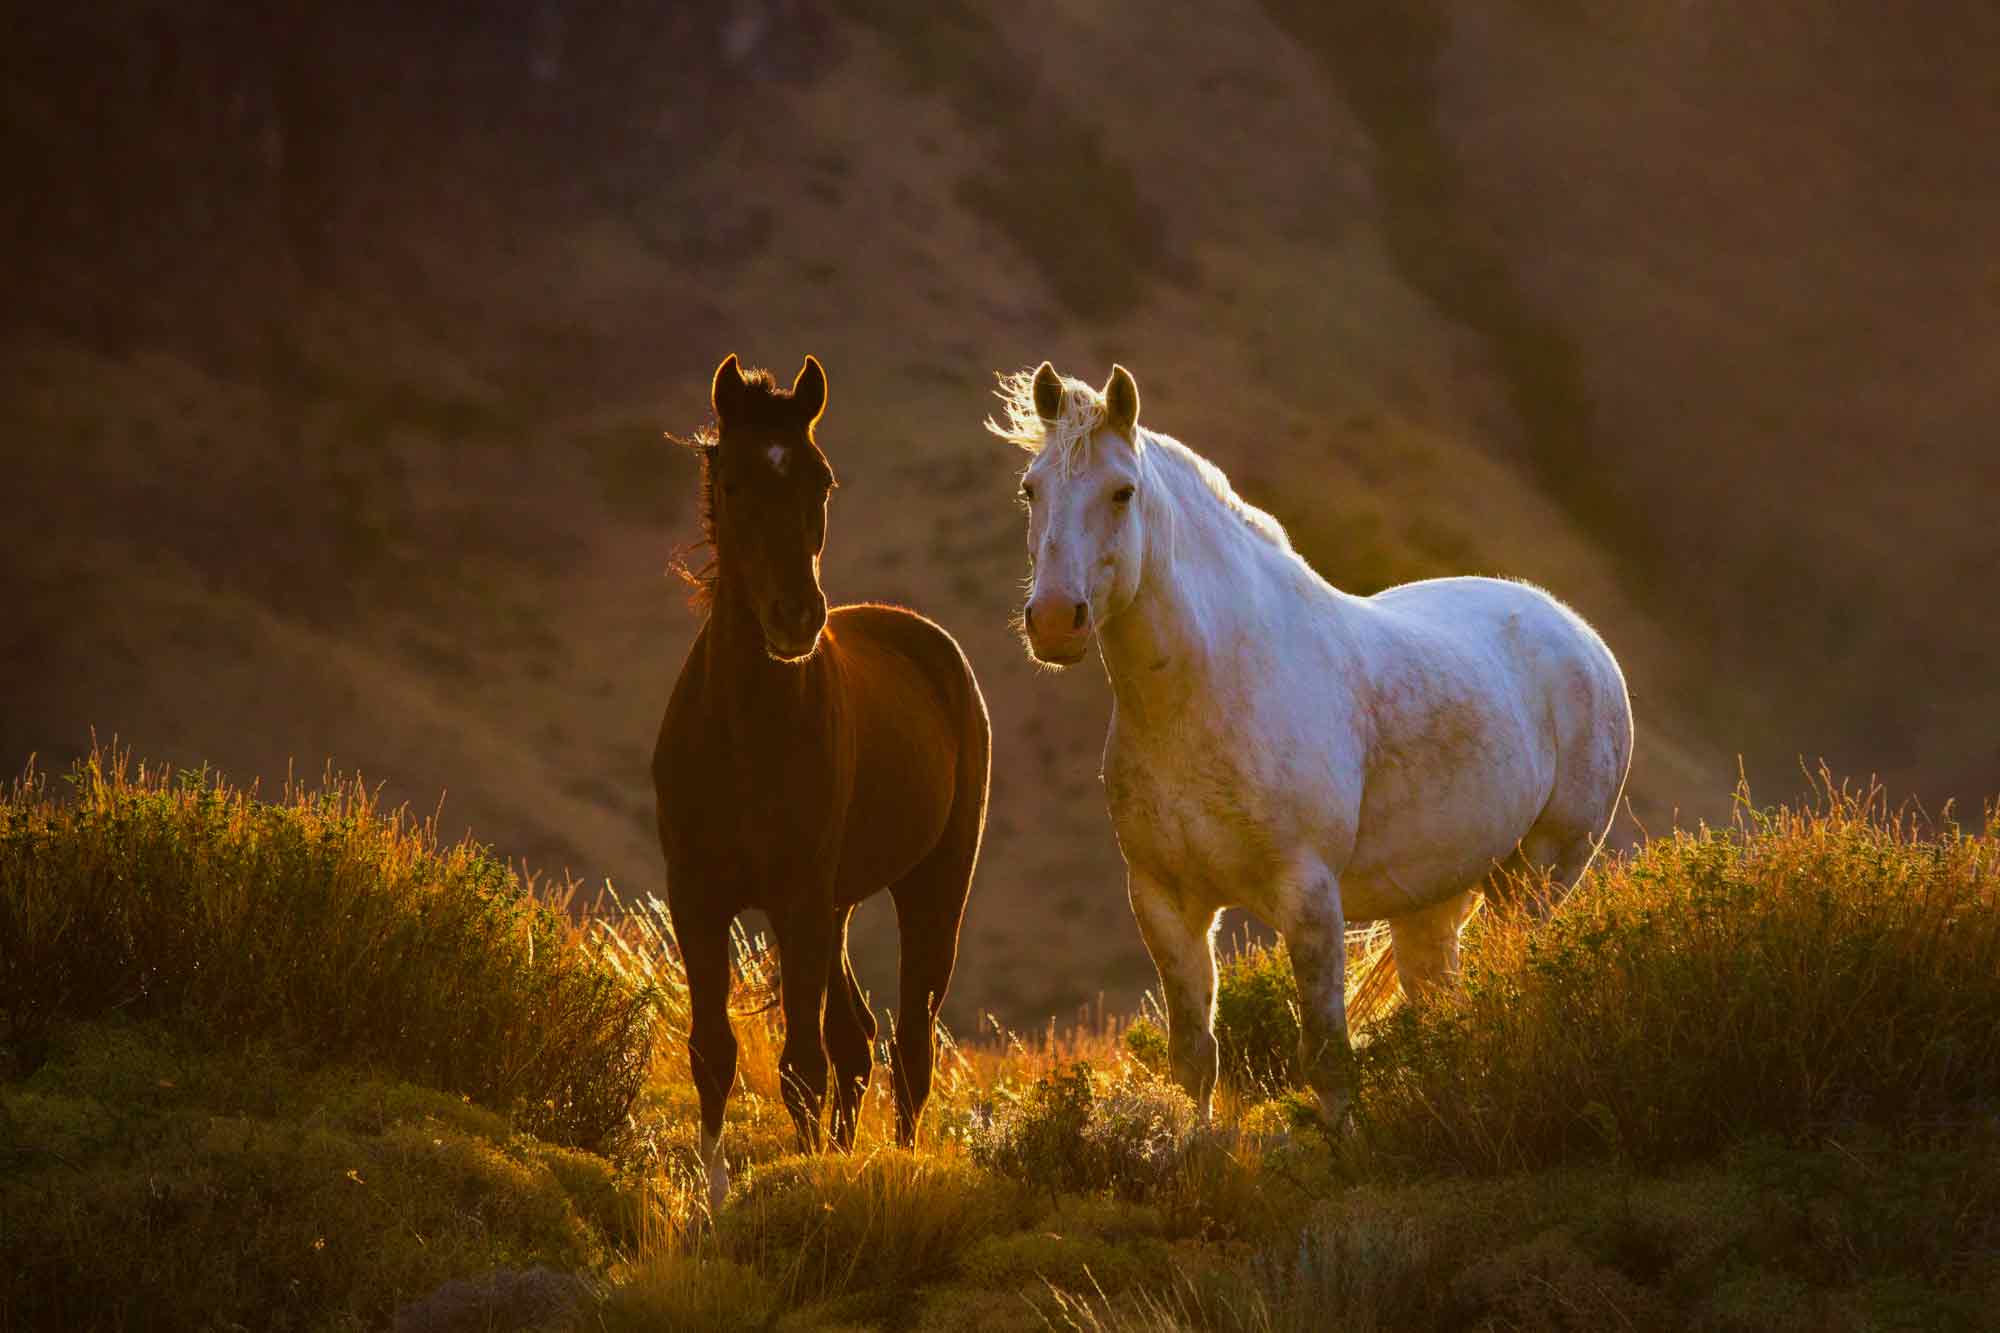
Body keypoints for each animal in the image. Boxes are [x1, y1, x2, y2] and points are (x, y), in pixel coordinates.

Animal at [654, 354, 990, 1209]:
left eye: (822, 480)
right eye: (733, 480)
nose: (796, 617)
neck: (744, 735)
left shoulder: (797, 899)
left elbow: (799, 1067)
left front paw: (803, 1188)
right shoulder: (699, 896)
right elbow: (715, 1051)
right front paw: (716, 1200)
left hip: (929, 890)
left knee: (907, 1046)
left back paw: (897, 1164)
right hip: (836, 906)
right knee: (858, 1041)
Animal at [991, 360, 1632, 1121]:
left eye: (1122, 491)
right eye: (1031, 489)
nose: (1055, 620)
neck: (1205, 693)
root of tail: (1580, 636)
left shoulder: (1309, 896)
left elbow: (1327, 1057)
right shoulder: (1165, 902)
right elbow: (1193, 1062)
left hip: (1540, 873)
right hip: (1434, 898)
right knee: (1441, 1001)